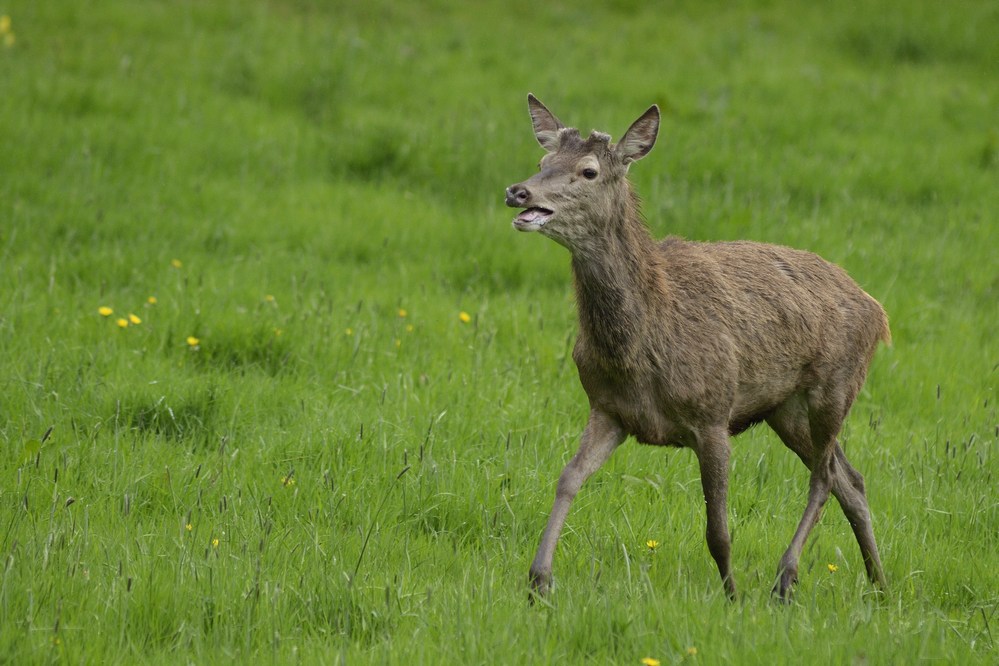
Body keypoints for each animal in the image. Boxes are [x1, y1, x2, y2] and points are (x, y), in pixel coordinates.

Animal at [508, 94, 892, 600]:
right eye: (542, 163)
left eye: (588, 171)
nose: (518, 192)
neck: (641, 346)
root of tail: (878, 311)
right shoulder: (609, 408)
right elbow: (567, 478)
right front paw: (538, 580)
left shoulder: (713, 414)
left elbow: (717, 529)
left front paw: (732, 594)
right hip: (784, 408)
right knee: (851, 478)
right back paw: (880, 584)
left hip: (836, 385)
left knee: (825, 476)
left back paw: (785, 578)